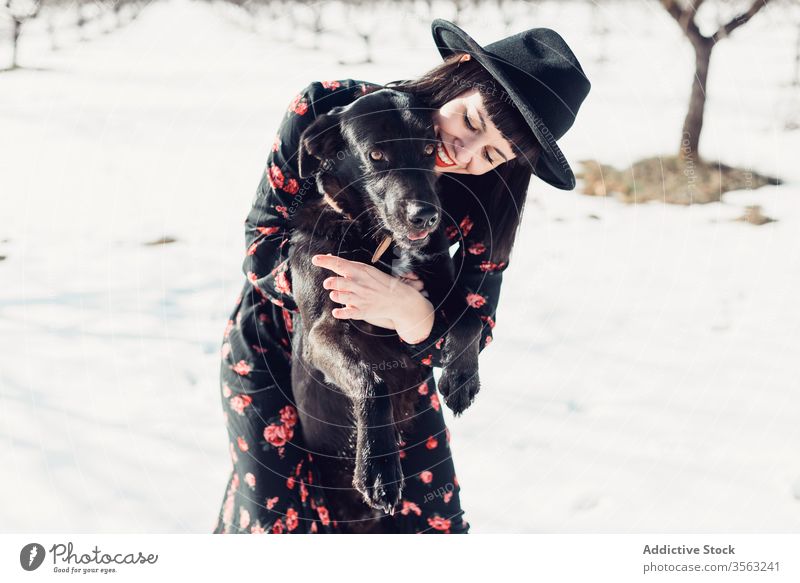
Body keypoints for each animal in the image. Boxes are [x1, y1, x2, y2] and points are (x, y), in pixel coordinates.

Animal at [290, 89, 484, 532]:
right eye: (376, 155)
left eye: (430, 149)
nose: (426, 216)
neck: (378, 240)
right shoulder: (323, 332)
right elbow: (372, 380)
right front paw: (378, 470)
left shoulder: (440, 296)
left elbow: (472, 319)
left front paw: (462, 378)